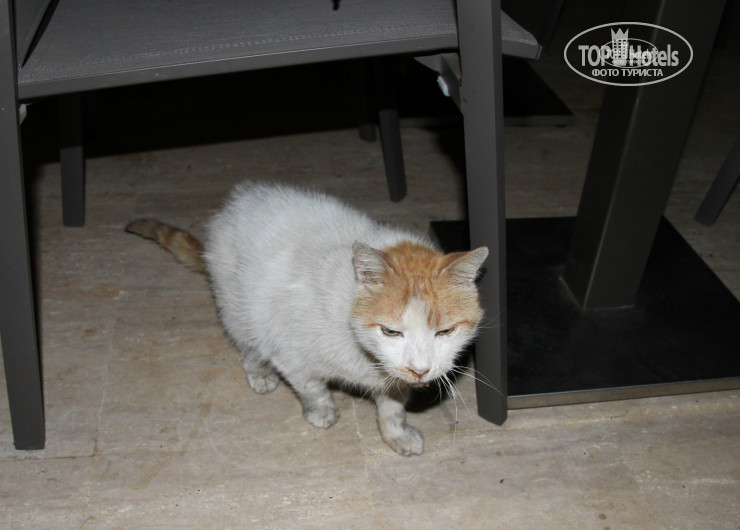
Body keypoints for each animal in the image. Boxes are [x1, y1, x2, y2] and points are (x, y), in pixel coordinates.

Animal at [126, 182, 488, 455]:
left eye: (445, 332)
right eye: (390, 331)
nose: (420, 370)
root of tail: (237, 203)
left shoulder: (394, 381)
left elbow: (392, 409)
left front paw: (396, 434)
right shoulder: (291, 353)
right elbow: (311, 387)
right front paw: (322, 411)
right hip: (240, 309)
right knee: (250, 347)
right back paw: (259, 372)